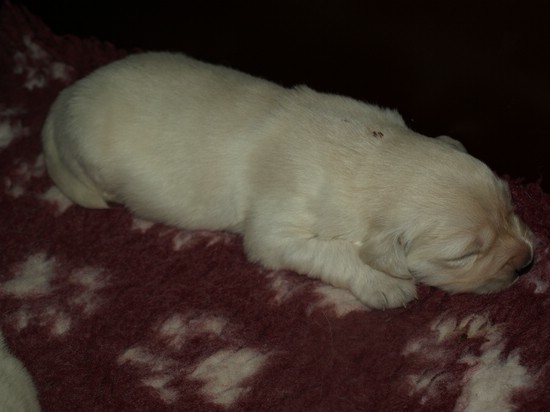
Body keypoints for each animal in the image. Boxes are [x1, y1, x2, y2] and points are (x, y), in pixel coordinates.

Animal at [41, 52, 534, 309]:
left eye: (511, 206)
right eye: (465, 255)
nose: (528, 262)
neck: (375, 154)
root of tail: (64, 97)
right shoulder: (277, 227)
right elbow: (327, 250)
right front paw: (386, 282)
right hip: (91, 159)